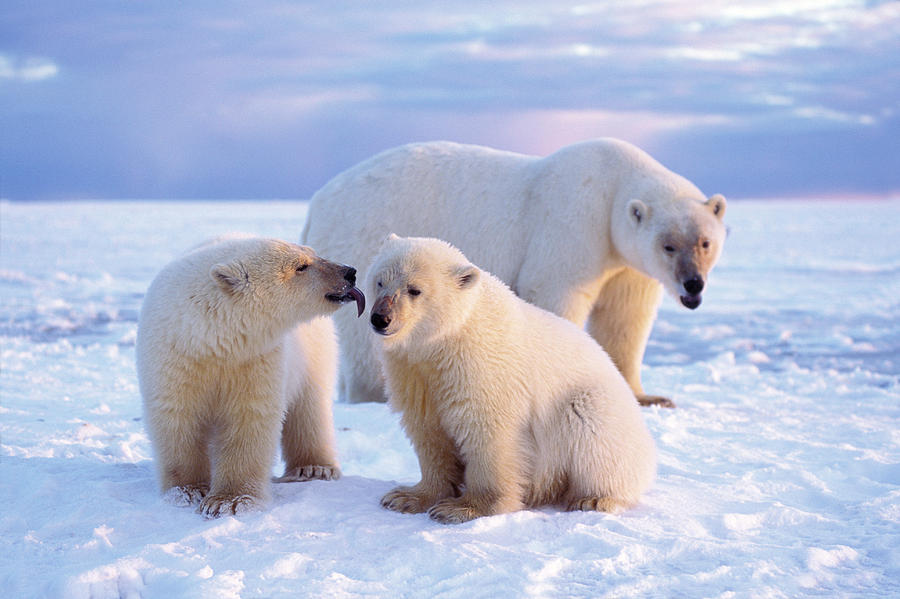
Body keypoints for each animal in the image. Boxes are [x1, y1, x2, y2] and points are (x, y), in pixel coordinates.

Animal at [302, 138, 724, 408]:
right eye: (668, 245)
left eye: (705, 242)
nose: (693, 284)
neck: (612, 188)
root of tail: (316, 202)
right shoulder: (573, 223)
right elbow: (556, 292)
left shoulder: (624, 262)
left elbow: (625, 317)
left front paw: (648, 396)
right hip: (363, 234)